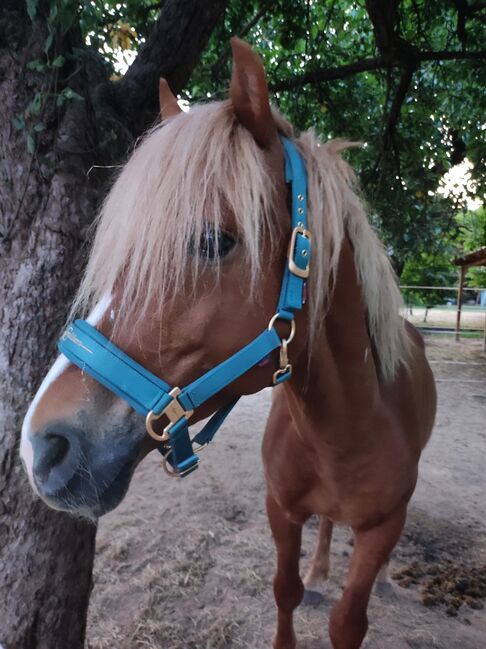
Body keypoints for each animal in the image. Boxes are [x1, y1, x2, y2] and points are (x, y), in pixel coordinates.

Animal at [19, 38, 436, 644]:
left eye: (215, 241)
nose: (41, 447)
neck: (344, 431)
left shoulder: (383, 526)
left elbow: (348, 623)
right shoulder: (280, 510)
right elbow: (285, 590)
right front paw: (305, 583)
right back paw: (319, 572)